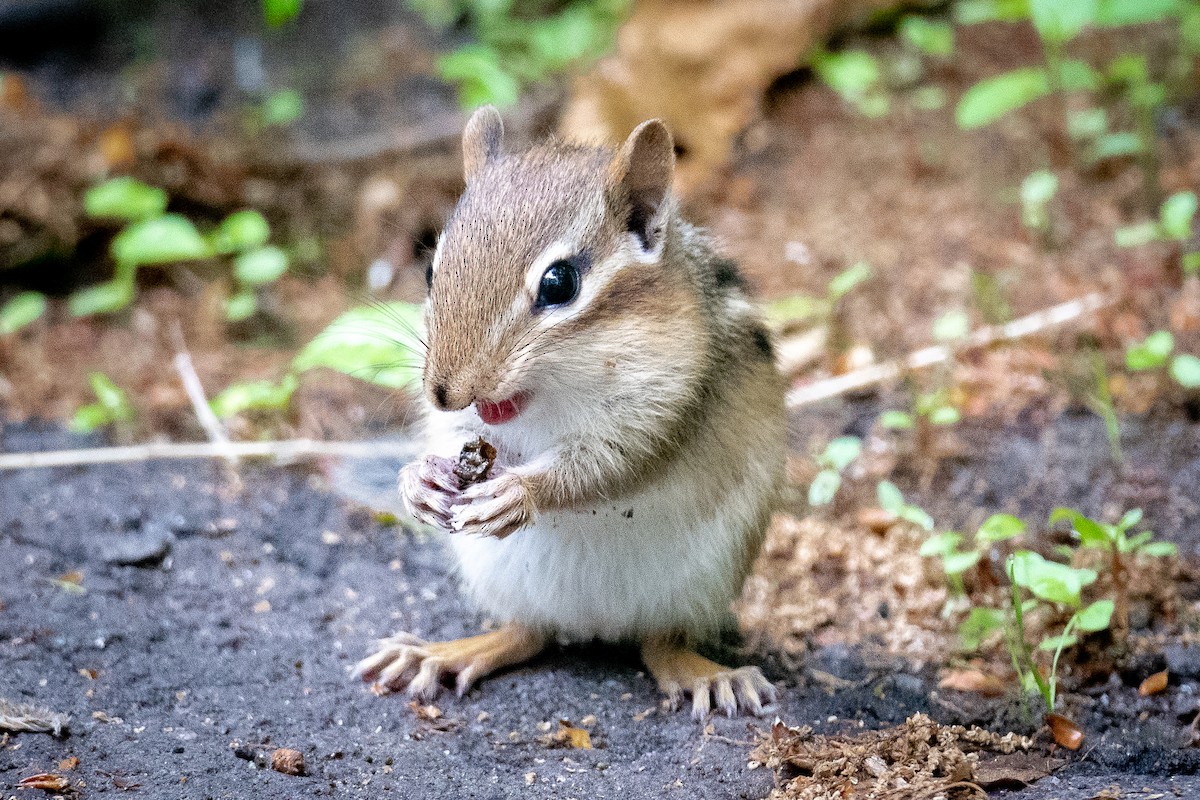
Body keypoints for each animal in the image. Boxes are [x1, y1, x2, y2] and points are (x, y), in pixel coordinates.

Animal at [354, 106, 786, 718]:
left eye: (560, 283)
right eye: (432, 271)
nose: (445, 391)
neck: (556, 387)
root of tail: (596, 624)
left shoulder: (666, 405)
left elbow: (612, 466)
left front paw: (521, 492)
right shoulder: (466, 428)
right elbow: (451, 440)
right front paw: (419, 480)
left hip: (699, 583)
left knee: (661, 645)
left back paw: (708, 674)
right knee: (527, 634)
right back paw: (442, 653)